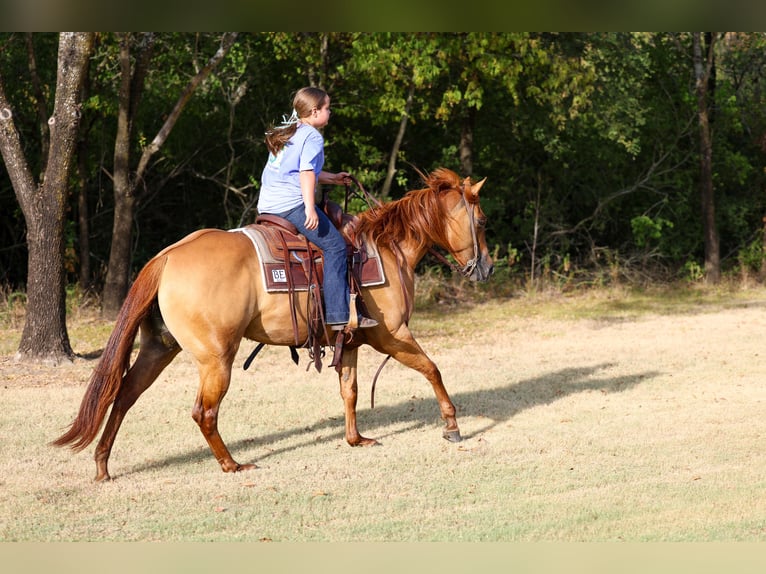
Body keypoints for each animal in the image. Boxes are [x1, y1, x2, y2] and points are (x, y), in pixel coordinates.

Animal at [53, 167, 494, 481]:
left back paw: (102, 465)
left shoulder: (349, 342)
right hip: (216, 359)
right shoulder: (392, 335)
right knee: (203, 412)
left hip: (159, 348)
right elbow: (432, 369)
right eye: (482, 221)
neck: (387, 248)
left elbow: (349, 391)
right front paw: (452, 425)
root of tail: (168, 256)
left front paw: (356, 439)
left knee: (124, 395)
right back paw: (232, 465)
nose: (487, 268)